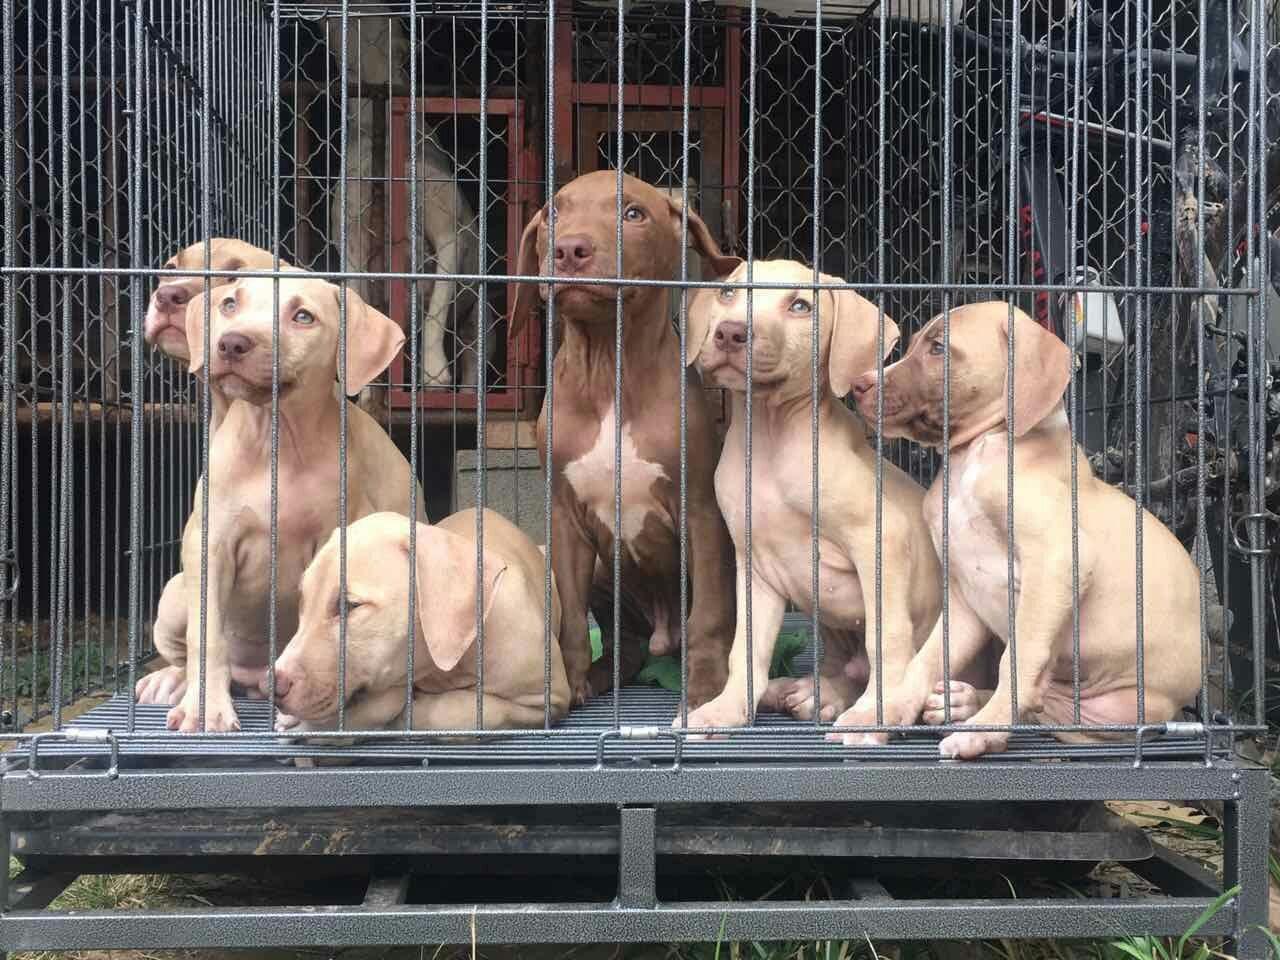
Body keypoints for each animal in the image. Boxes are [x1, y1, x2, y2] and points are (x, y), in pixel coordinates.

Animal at [162, 273, 424, 732]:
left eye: (303, 317)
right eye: (229, 305)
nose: (231, 343)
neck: (277, 441)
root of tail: (250, 676)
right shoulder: (208, 545)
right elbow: (205, 634)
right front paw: (205, 708)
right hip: (175, 592)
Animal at [680, 261, 942, 737]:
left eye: (801, 306)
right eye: (728, 294)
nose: (729, 332)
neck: (771, 438)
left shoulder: (882, 541)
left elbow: (886, 637)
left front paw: (875, 715)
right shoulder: (753, 566)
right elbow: (746, 648)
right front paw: (726, 709)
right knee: (847, 667)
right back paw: (815, 694)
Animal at [844, 304, 1203, 762]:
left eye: (938, 348)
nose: (858, 385)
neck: (973, 457)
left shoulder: (1058, 560)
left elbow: (1017, 660)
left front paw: (982, 733)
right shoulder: (963, 596)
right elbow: (927, 659)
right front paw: (880, 716)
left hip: (1117, 708)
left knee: (1042, 706)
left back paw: (978, 717)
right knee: (1038, 705)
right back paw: (960, 701)